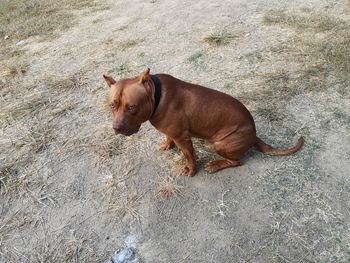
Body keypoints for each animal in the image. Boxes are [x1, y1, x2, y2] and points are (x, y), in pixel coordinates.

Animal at [104, 69, 304, 176]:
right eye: (112, 105)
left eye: (131, 107)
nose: (117, 128)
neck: (156, 95)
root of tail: (254, 134)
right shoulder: (172, 132)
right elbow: (169, 137)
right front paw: (167, 144)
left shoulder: (183, 138)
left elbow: (190, 156)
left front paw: (191, 170)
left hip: (222, 144)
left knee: (237, 162)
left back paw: (215, 165)